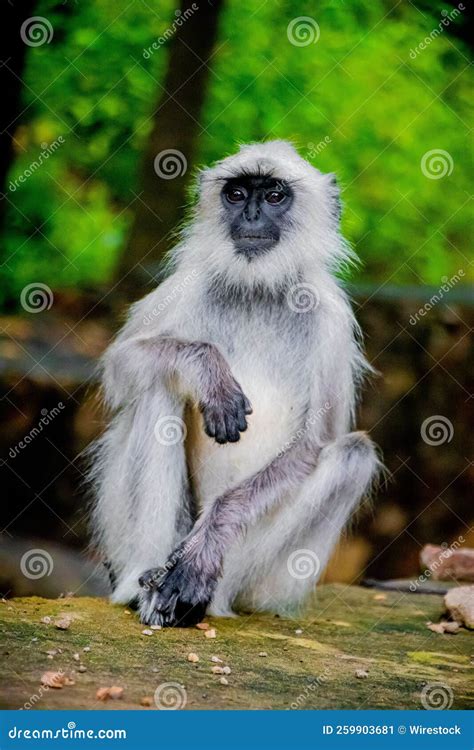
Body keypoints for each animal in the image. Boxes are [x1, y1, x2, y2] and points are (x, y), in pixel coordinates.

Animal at [89, 141, 380, 628]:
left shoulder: (331, 319)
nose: (252, 215)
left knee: (353, 453)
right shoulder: (190, 285)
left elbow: (313, 443)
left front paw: (204, 550)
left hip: (269, 584)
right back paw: (140, 584)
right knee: (157, 389)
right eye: (238, 194)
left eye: (275, 195)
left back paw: (200, 590)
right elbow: (122, 363)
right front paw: (210, 373)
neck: (259, 290)